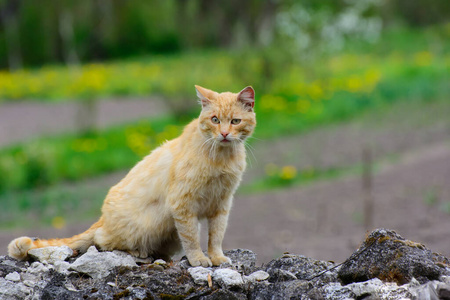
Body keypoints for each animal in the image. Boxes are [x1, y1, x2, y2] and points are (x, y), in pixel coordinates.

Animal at [7, 85, 256, 268]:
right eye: (215, 120)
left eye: (235, 121)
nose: (224, 134)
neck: (221, 157)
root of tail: (103, 218)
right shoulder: (183, 205)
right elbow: (192, 238)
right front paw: (198, 260)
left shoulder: (222, 204)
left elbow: (216, 236)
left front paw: (216, 257)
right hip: (143, 227)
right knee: (101, 240)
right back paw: (137, 252)